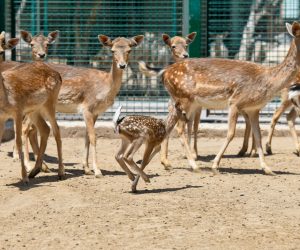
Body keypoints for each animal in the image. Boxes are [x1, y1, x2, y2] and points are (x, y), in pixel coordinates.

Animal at [23, 33, 144, 178]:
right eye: (112, 50)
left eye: (129, 50)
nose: (122, 65)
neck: (105, 87)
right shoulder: (87, 108)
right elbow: (93, 137)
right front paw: (97, 171)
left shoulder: (96, 112)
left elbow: (86, 136)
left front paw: (87, 169)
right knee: (25, 128)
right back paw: (29, 167)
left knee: (32, 130)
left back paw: (44, 167)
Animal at [157, 22, 300, 176]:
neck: (268, 82)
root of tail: (164, 73)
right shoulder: (235, 102)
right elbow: (231, 134)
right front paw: (215, 165)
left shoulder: (254, 109)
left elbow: (258, 135)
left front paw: (267, 168)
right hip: (185, 99)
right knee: (179, 128)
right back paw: (194, 165)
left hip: (180, 101)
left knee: (169, 123)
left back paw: (167, 163)